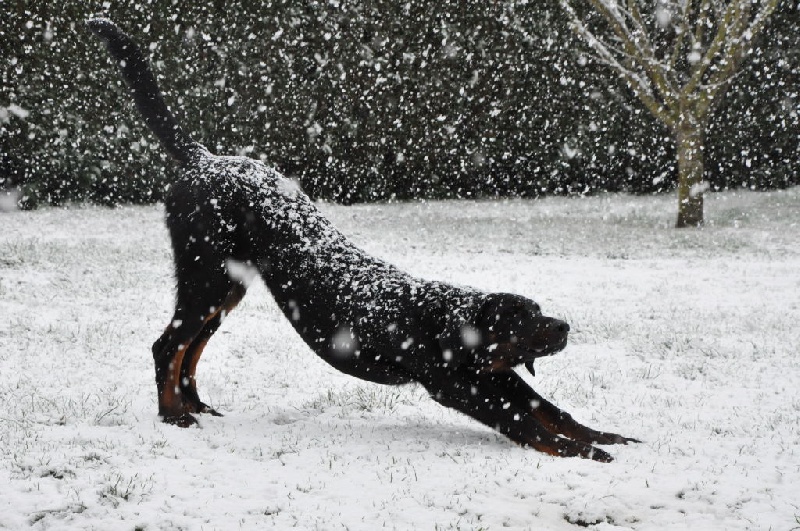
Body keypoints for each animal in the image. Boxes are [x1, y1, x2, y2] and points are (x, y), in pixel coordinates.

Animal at [87, 18, 636, 462]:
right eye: (523, 318)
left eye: (539, 311)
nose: (564, 325)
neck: (449, 321)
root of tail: (204, 158)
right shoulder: (461, 384)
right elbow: (531, 425)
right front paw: (584, 453)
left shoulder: (495, 376)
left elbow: (554, 411)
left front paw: (606, 436)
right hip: (205, 275)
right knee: (168, 345)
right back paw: (173, 416)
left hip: (228, 288)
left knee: (191, 349)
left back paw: (196, 406)